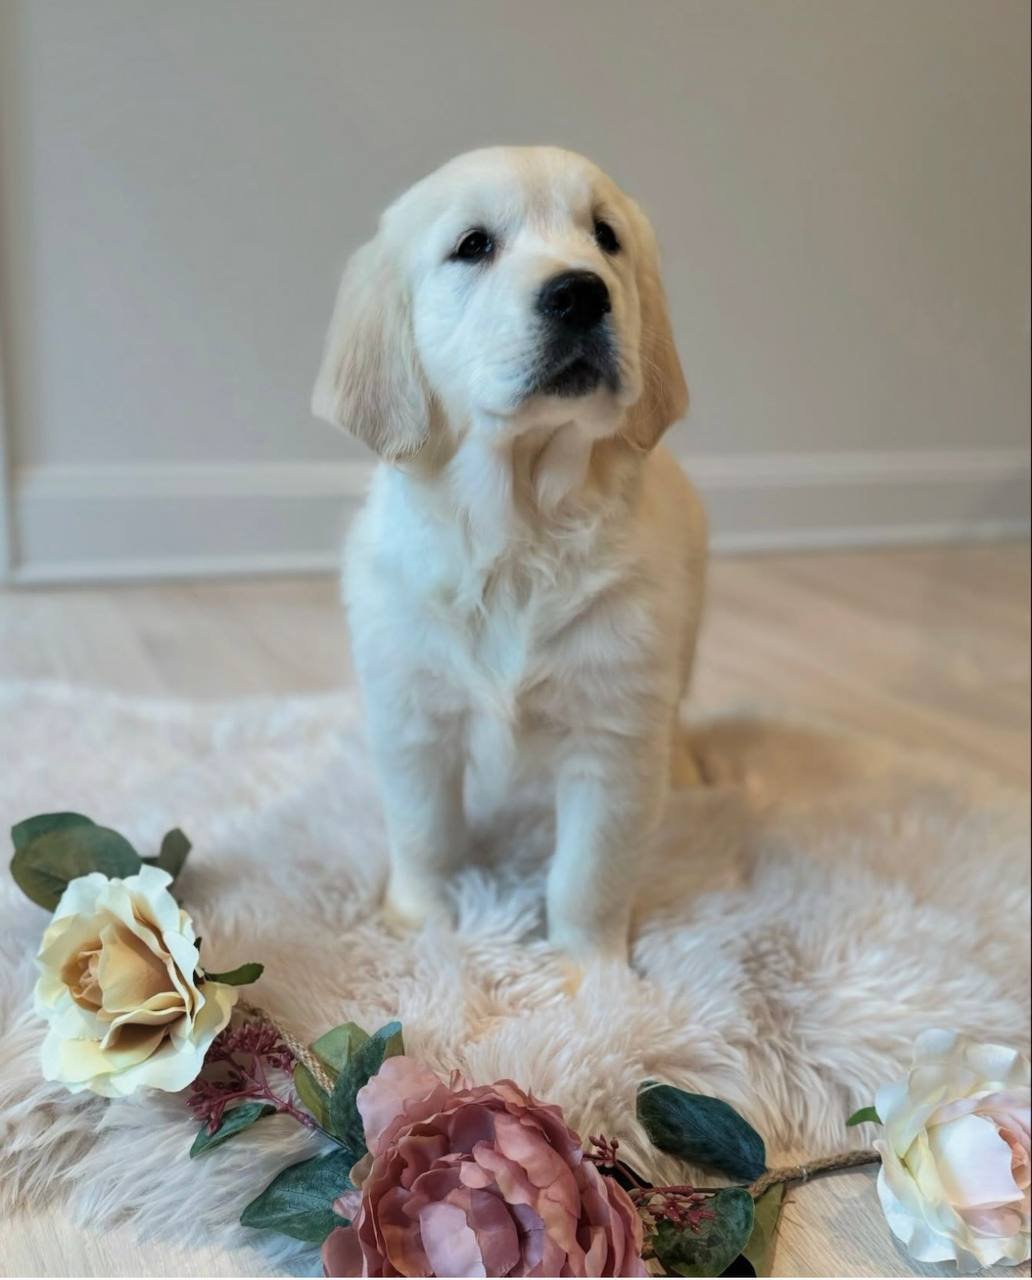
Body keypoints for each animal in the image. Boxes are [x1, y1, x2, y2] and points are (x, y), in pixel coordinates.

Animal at [312, 146, 706, 964]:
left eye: (606, 237)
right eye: (473, 246)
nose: (581, 293)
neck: (517, 530)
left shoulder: (613, 733)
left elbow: (588, 873)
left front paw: (591, 974)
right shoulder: (411, 714)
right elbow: (424, 834)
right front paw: (417, 926)